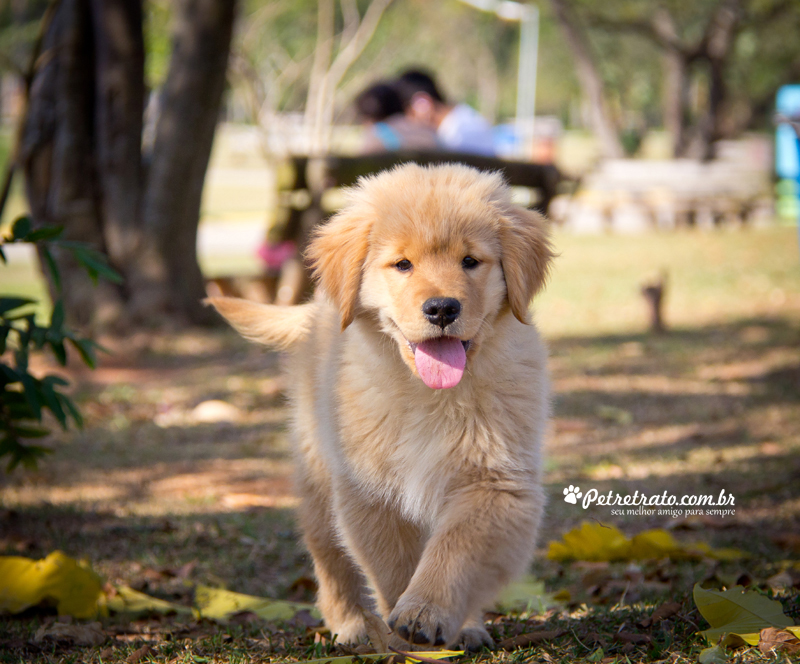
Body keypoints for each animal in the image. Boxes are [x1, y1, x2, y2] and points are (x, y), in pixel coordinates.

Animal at [209, 163, 552, 652]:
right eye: (402, 264)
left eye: (470, 261)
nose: (442, 308)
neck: (430, 394)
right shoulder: (368, 489)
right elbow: (393, 567)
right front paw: (405, 632)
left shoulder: (495, 483)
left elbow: (457, 550)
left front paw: (428, 613)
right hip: (318, 476)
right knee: (329, 557)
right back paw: (350, 624)